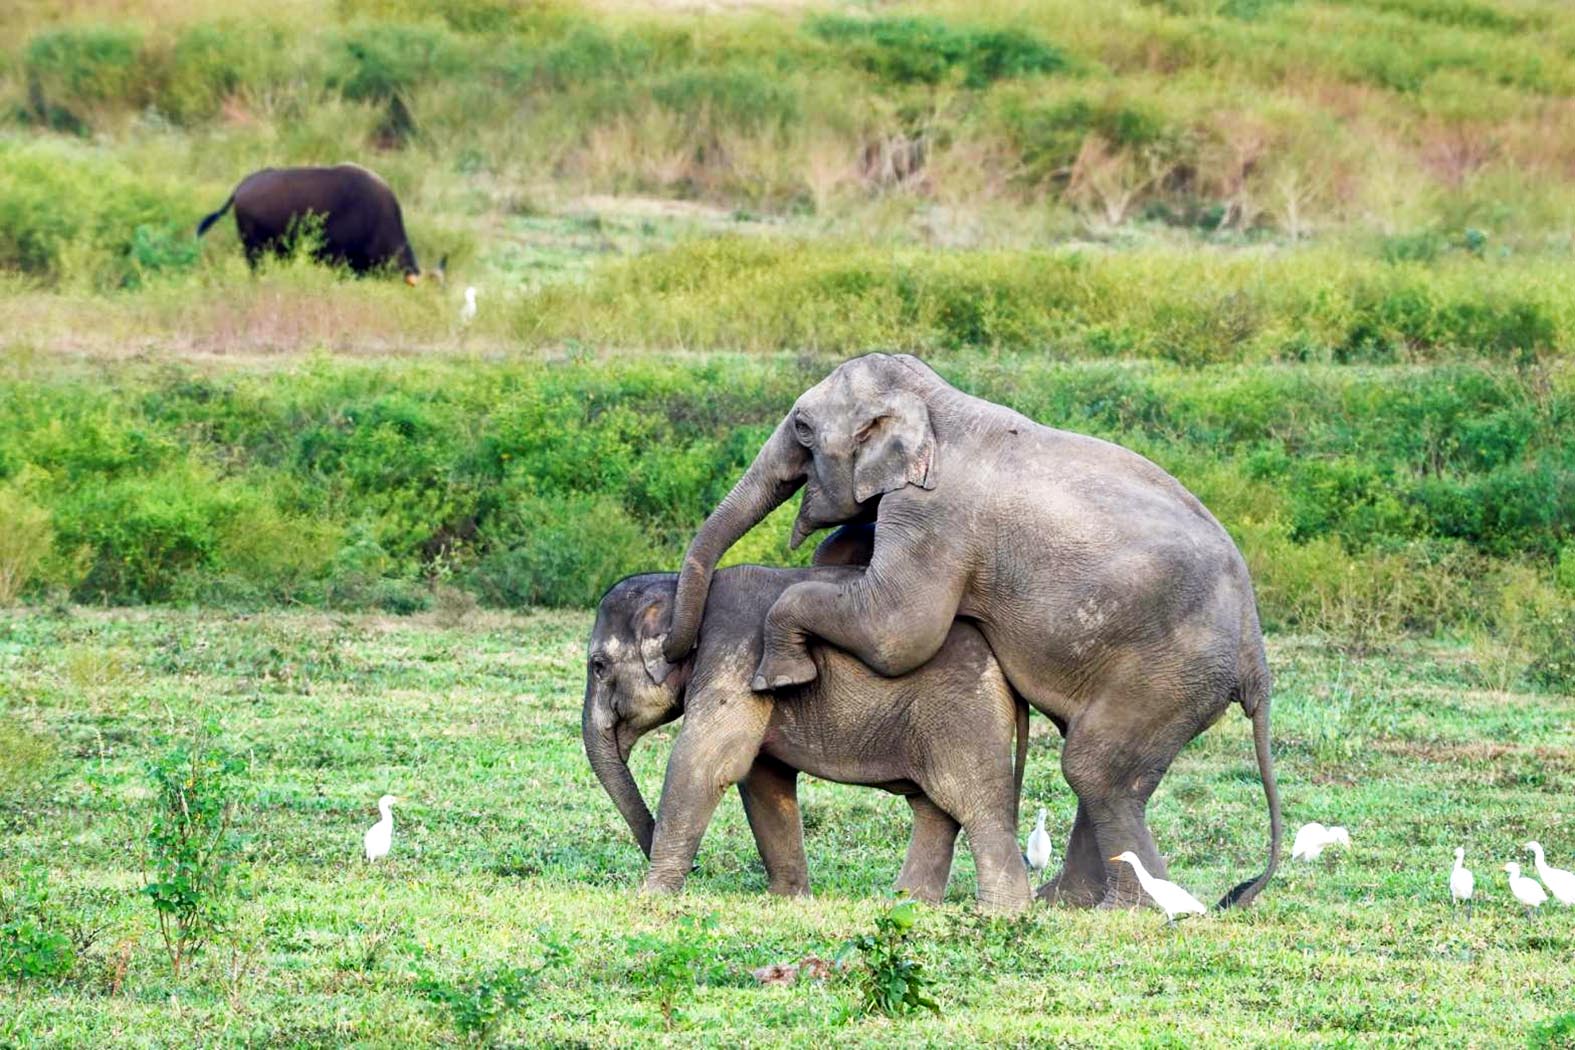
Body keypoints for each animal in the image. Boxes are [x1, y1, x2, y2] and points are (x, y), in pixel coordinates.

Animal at [579, 557, 1033, 913]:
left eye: (598, 666)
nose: (699, 867)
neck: (682, 586)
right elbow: (763, 780)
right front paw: (788, 899)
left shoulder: (734, 654)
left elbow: (705, 764)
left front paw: (652, 895)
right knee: (933, 807)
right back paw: (909, 902)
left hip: (963, 715)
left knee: (975, 803)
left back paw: (1002, 914)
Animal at [661, 352, 1278, 913]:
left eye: (802, 428)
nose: (672, 649)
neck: (936, 403)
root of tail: (1255, 653)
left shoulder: (933, 515)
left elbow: (898, 631)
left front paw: (781, 674)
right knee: (1094, 767)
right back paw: (1067, 902)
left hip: (1167, 673)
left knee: (1093, 767)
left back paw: (1124, 910)